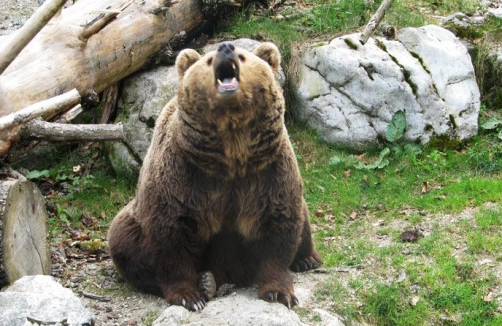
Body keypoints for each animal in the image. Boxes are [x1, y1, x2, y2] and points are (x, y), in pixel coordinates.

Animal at [108, 40, 324, 310]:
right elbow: (170, 233)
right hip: (132, 220)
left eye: (242, 56)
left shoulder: (267, 171)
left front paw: (279, 292)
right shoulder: (183, 174)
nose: (225, 47)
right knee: (125, 243)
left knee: (303, 217)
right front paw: (189, 296)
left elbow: (278, 224)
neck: (231, 154)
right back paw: (206, 282)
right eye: (208, 59)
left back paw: (307, 259)